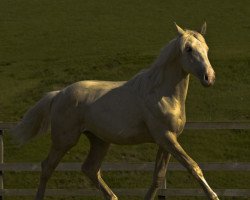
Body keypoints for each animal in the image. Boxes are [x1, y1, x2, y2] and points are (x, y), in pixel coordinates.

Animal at [11, 22, 219, 199]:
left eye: (206, 48)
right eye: (188, 49)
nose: (209, 78)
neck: (161, 93)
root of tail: (59, 94)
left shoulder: (167, 141)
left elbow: (158, 177)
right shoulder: (165, 137)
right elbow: (193, 167)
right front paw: (214, 196)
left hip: (99, 141)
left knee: (90, 169)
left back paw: (112, 196)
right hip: (64, 140)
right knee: (47, 167)